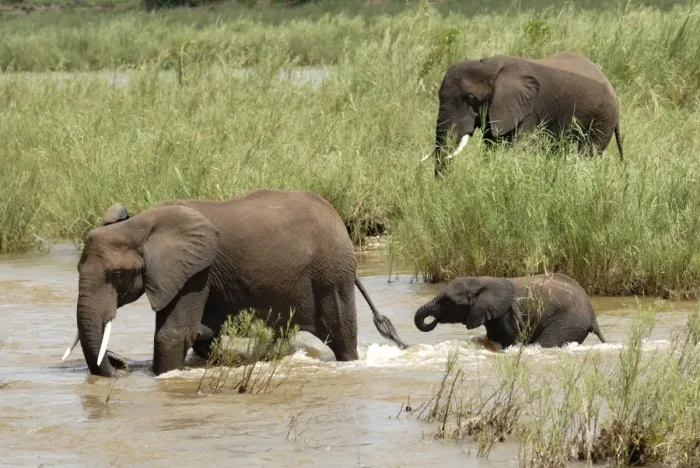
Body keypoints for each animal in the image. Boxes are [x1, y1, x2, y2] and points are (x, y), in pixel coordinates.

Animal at [61, 189, 407, 377]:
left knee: (342, 336)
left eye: (117, 275)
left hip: (330, 273)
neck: (138, 225)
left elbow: (172, 334)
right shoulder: (178, 275)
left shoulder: (195, 272)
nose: (118, 362)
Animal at [414, 273, 606, 349]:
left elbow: (511, 341)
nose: (435, 319)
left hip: (567, 322)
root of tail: (593, 316)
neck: (483, 281)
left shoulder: (508, 315)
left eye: (447, 302)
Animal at [422, 51, 624, 177]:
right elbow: (491, 146)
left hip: (603, 117)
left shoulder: (529, 109)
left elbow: (520, 147)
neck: (488, 64)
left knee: (588, 153)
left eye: (470, 98)